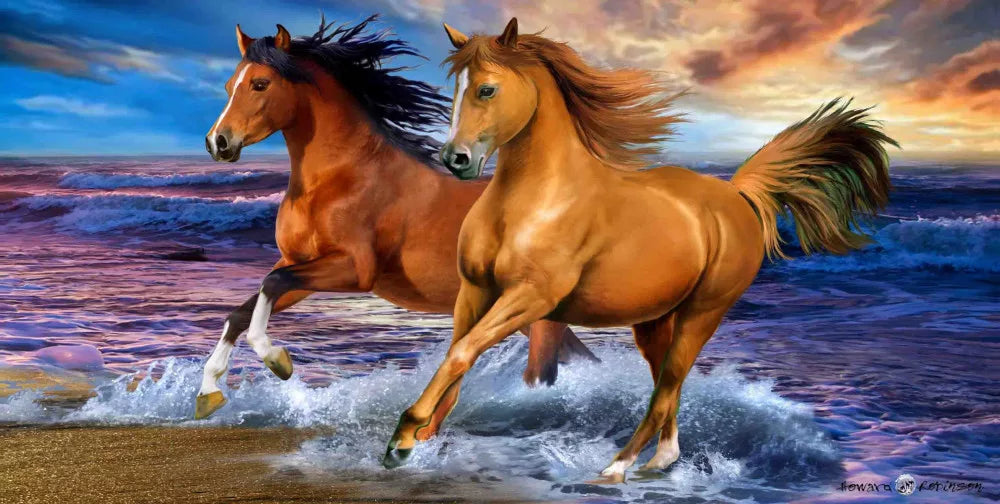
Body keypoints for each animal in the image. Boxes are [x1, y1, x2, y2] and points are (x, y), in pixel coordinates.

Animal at [195, 16, 597, 422]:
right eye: (229, 86)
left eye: (260, 83)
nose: (218, 143)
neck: (342, 177)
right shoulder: (299, 266)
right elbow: (241, 311)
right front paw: (208, 392)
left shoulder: (354, 269)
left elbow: (270, 284)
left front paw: (278, 360)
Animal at [383, 18, 896, 482]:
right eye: (455, 88)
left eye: (487, 90)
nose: (456, 159)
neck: (532, 200)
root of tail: (737, 194)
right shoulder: (474, 291)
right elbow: (458, 360)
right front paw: (418, 441)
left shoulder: (531, 297)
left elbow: (462, 353)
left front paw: (403, 438)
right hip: (654, 323)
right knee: (670, 390)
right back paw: (660, 461)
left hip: (703, 313)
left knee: (664, 392)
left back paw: (616, 467)